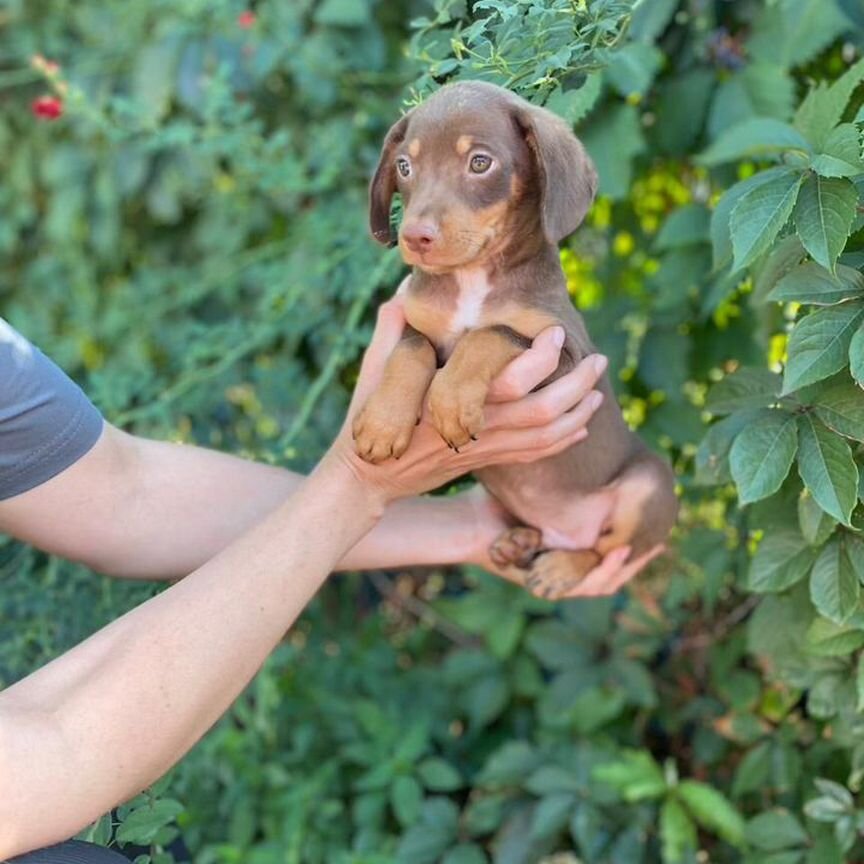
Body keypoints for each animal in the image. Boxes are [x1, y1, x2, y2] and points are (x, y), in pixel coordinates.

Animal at [352, 81, 676, 596]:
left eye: (480, 162)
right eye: (404, 166)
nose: (415, 237)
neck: (473, 278)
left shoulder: (567, 357)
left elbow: (491, 333)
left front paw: (450, 399)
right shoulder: (413, 322)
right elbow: (411, 348)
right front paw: (384, 424)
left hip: (648, 487)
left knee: (606, 550)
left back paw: (562, 566)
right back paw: (517, 542)